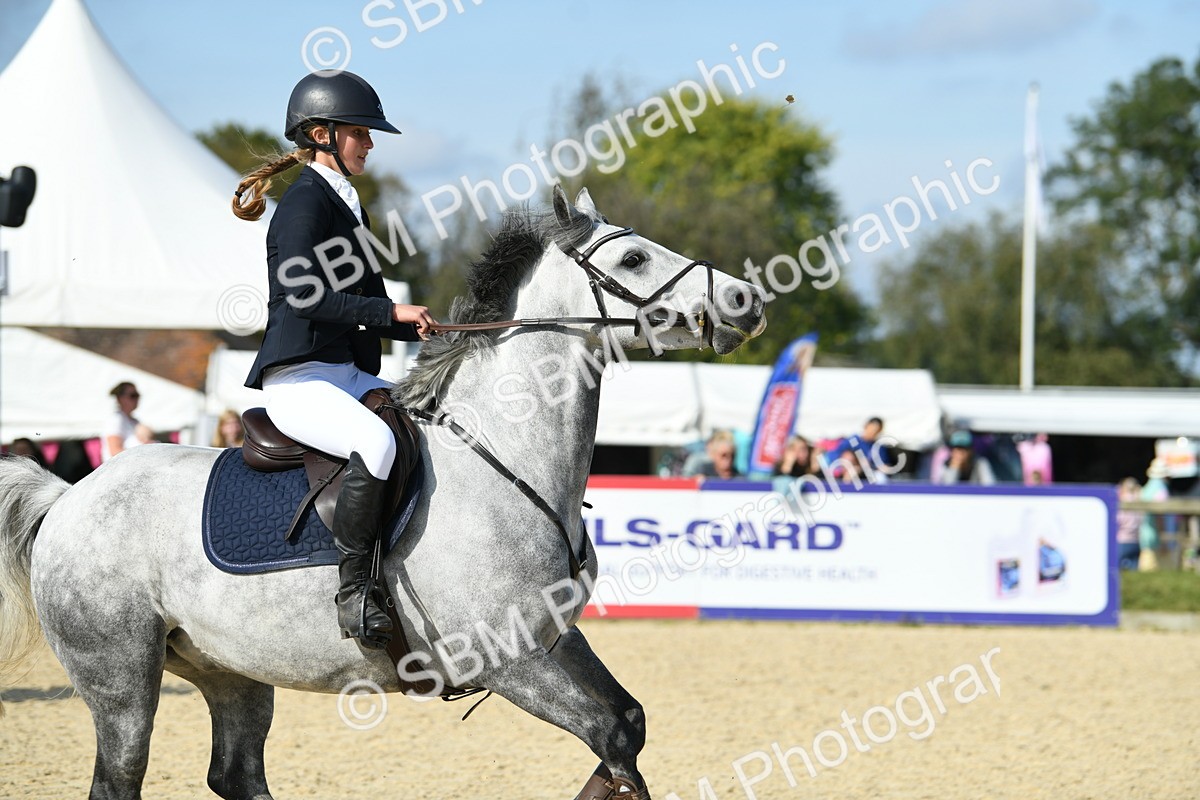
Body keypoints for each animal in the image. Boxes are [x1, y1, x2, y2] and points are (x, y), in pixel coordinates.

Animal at [0, 185, 766, 800]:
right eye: (634, 259)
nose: (744, 300)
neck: (503, 455)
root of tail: (68, 497)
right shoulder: (507, 657)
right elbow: (610, 737)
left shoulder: (553, 636)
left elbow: (626, 728)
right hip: (122, 680)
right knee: (120, 778)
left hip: (231, 669)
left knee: (235, 773)